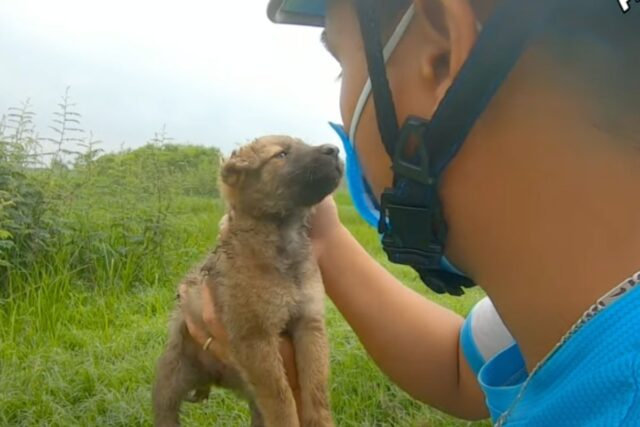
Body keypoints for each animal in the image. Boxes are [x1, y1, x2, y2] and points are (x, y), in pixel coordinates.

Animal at [152, 136, 342, 427]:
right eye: (281, 154)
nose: (334, 149)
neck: (282, 237)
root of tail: (214, 379)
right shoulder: (256, 336)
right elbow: (281, 399)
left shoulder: (309, 324)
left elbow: (316, 391)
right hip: (169, 383)